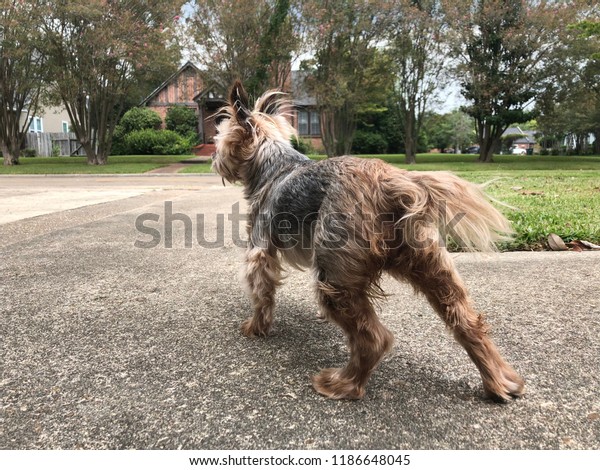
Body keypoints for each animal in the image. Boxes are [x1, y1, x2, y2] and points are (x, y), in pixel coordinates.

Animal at [213, 80, 524, 400]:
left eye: (219, 138)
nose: (215, 160)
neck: (271, 161)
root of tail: (392, 183)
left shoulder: (259, 251)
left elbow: (261, 294)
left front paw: (255, 327)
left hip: (334, 274)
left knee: (374, 339)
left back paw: (342, 383)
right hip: (430, 265)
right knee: (468, 322)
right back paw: (500, 382)